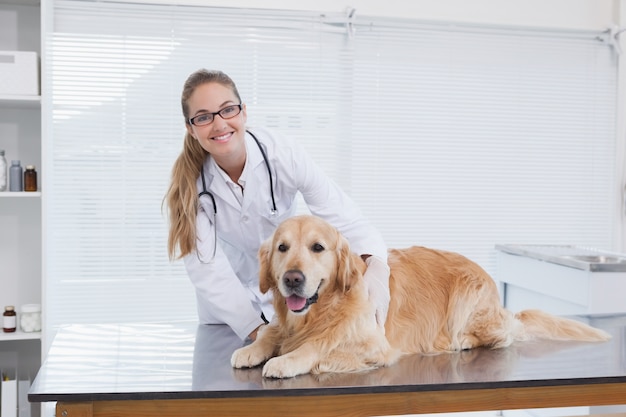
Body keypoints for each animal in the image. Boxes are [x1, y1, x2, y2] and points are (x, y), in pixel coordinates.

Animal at [229, 214, 604, 376]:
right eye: (282, 248)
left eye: (317, 247)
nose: (293, 279)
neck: (319, 312)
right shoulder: (286, 323)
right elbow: (270, 331)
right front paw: (251, 350)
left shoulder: (375, 344)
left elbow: (319, 346)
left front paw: (287, 360)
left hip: (468, 297)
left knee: (504, 334)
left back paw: (463, 341)